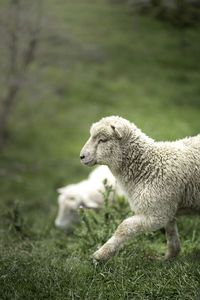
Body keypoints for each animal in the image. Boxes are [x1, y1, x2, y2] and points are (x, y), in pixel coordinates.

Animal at [80, 116, 200, 262]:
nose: (81, 156)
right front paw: (169, 257)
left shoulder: (156, 214)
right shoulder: (165, 207)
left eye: (102, 140)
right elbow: (171, 232)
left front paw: (100, 255)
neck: (149, 166)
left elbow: (124, 227)